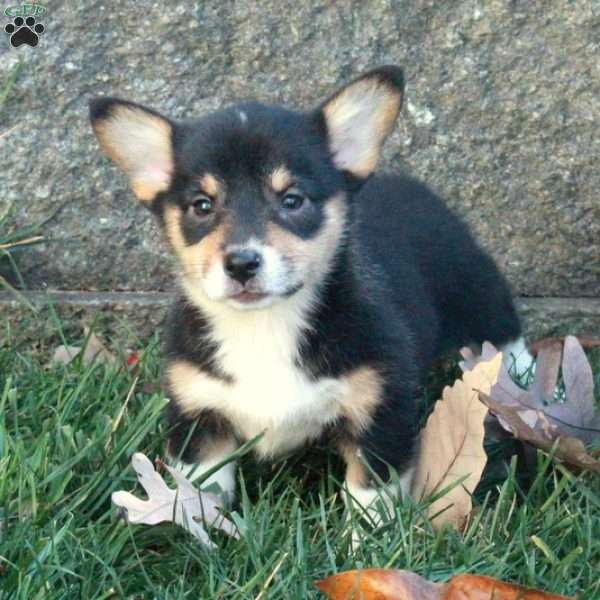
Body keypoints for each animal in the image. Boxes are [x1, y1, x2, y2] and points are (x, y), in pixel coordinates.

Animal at [89, 67, 528, 520]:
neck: (264, 325)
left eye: (292, 200)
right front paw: (199, 528)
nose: (242, 263)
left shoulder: (379, 412)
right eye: (202, 205)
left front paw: (369, 537)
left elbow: (371, 496)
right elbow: (200, 491)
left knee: (503, 331)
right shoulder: (199, 416)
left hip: (474, 289)